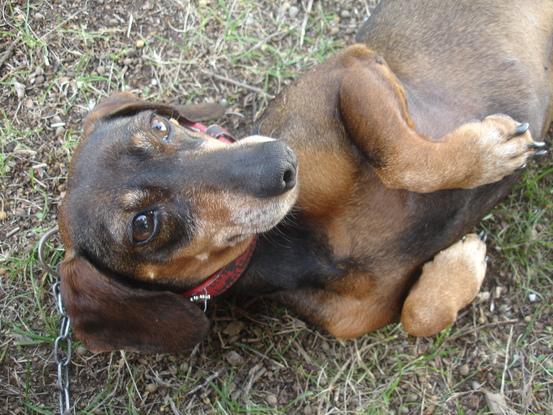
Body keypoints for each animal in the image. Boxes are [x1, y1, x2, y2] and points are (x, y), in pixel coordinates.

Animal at [58, 0, 548, 352]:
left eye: (160, 127)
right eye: (144, 225)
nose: (281, 162)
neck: (300, 244)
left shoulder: (349, 68)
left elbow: (399, 157)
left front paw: (489, 153)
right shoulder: (351, 320)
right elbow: (417, 316)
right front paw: (462, 262)